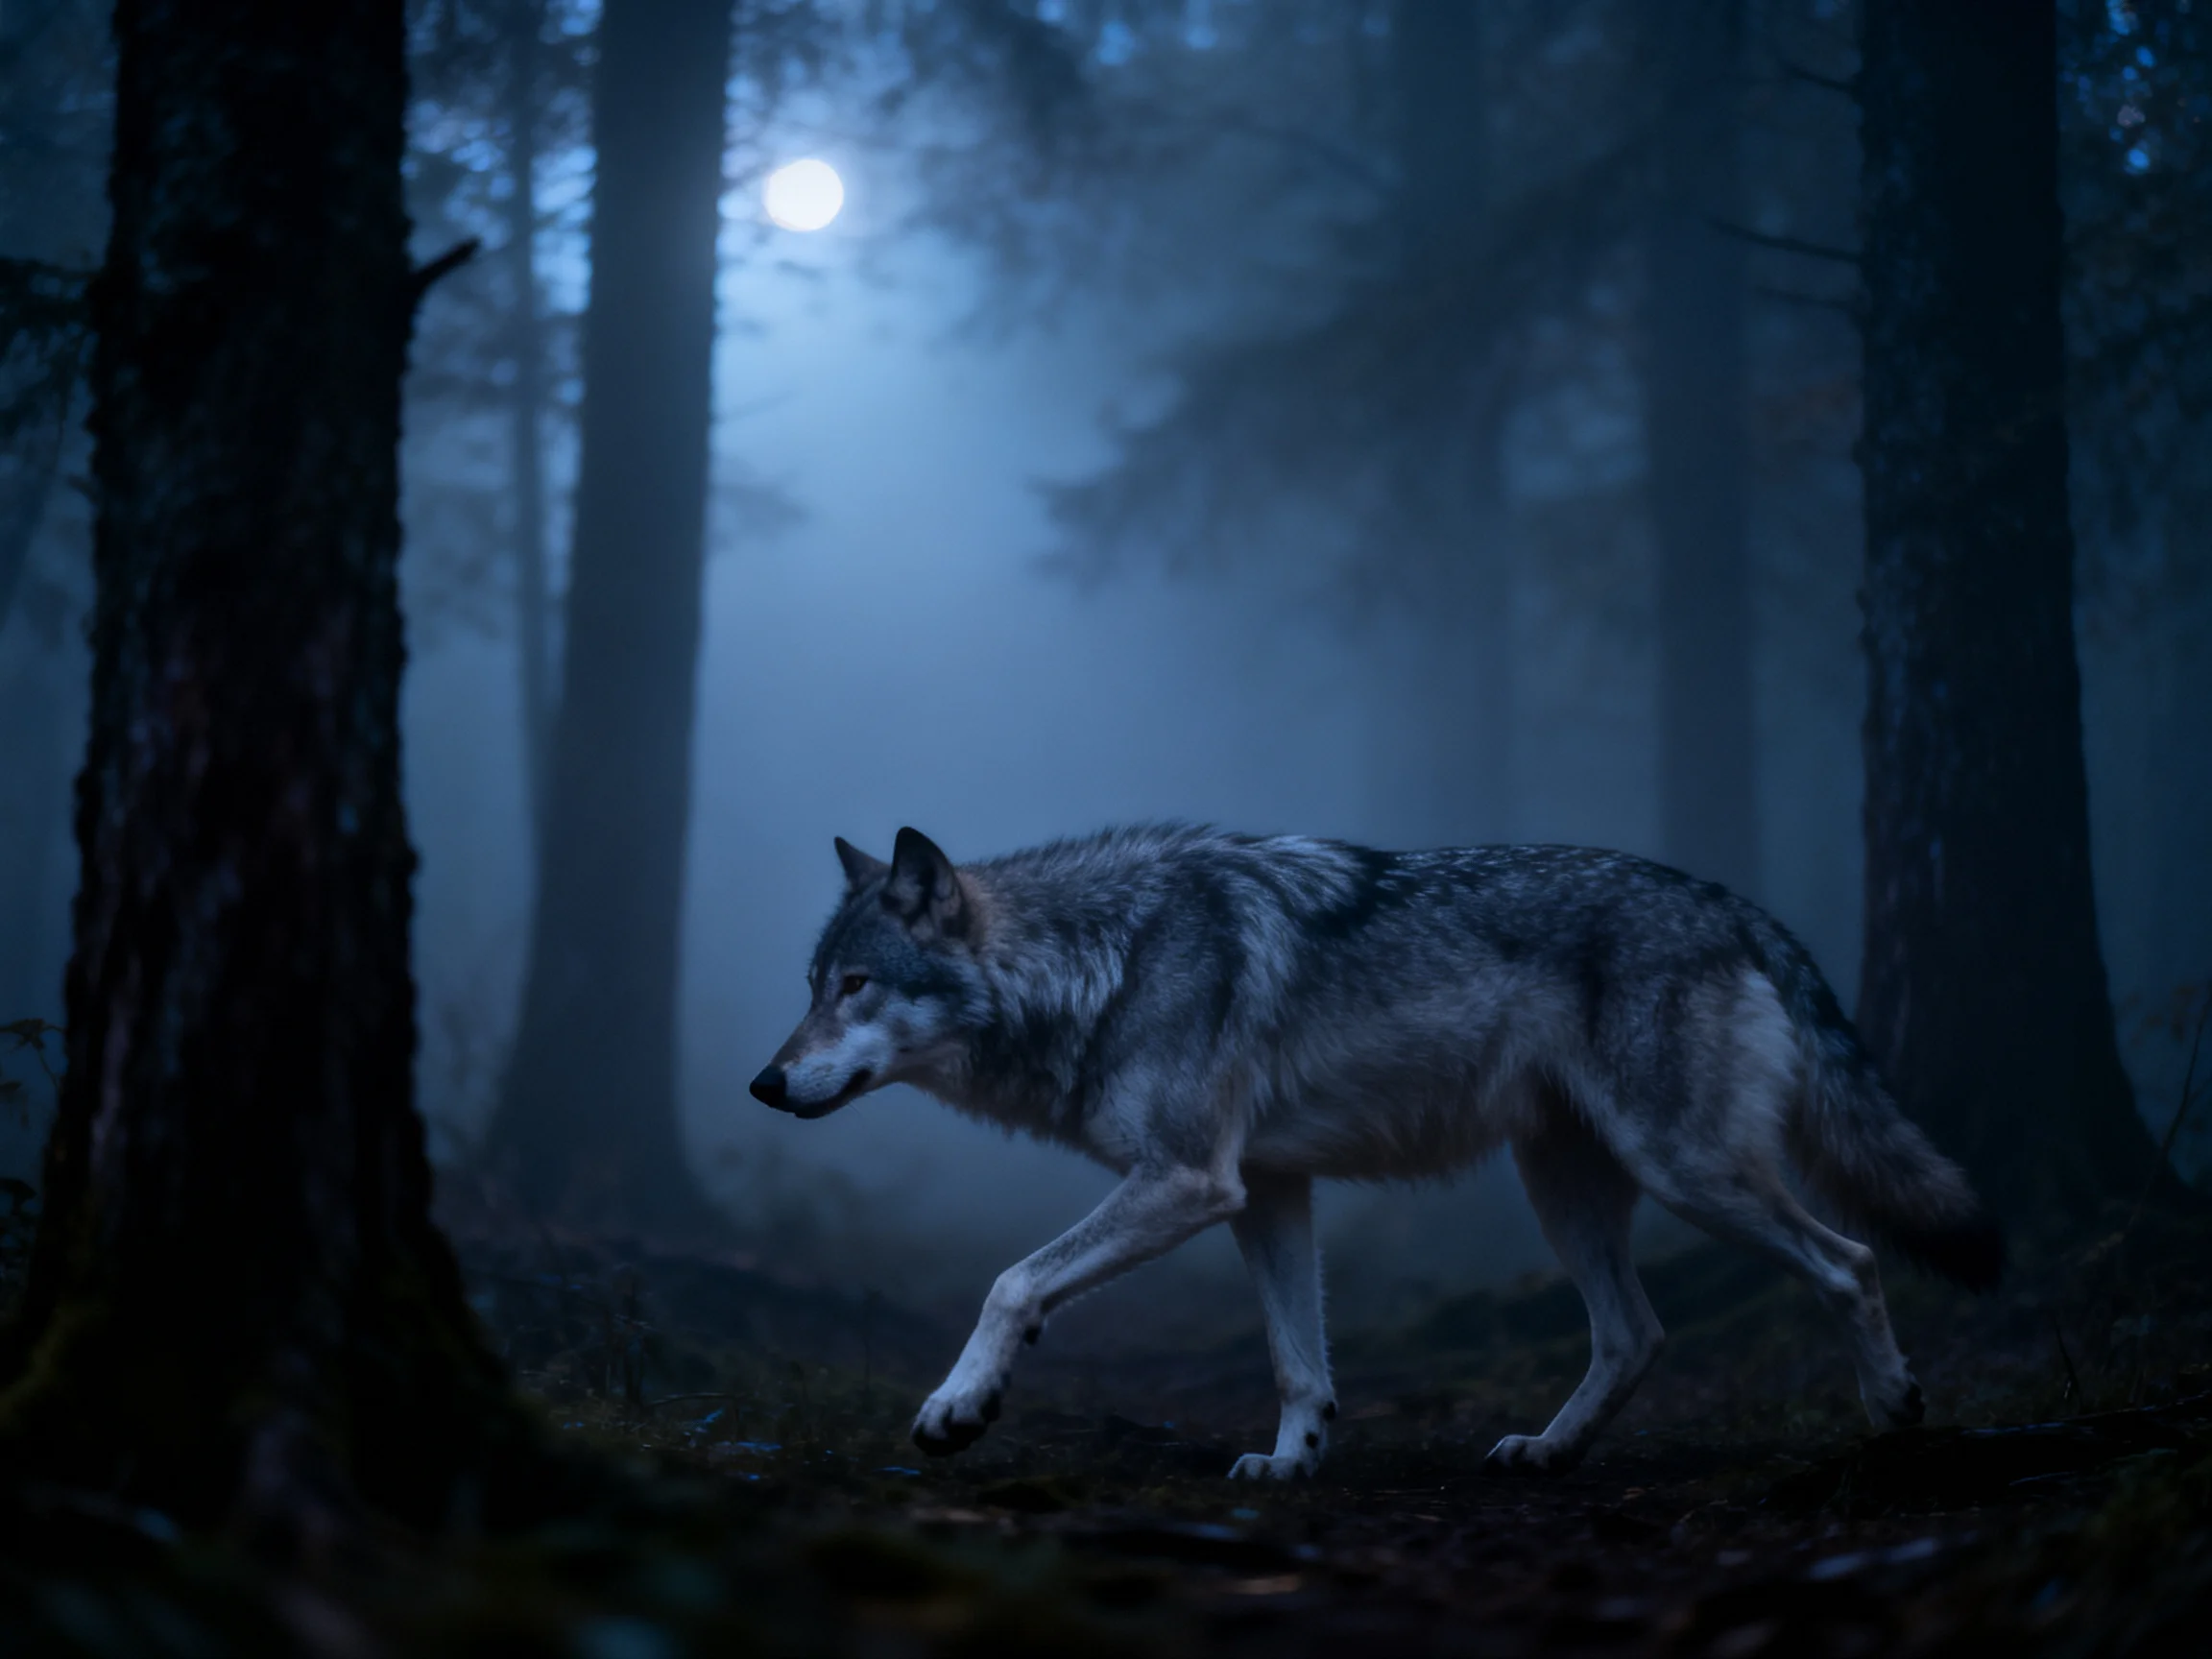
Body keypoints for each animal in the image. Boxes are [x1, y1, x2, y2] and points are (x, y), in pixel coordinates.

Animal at [750, 825, 2002, 1479]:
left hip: (1683, 1170)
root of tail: (1730, 901)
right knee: (1636, 1332)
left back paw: (1893, 1409)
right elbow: (1299, 1360)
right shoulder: (1263, 1190)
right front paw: (1294, 1463)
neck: (1101, 961)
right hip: (1565, 1188)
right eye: (808, 987)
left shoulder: (1189, 1180)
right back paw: (1547, 1452)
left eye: (853, 986)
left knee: (1850, 1260)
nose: (762, 1085)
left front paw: (958, 1409)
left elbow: (1011, 1284)